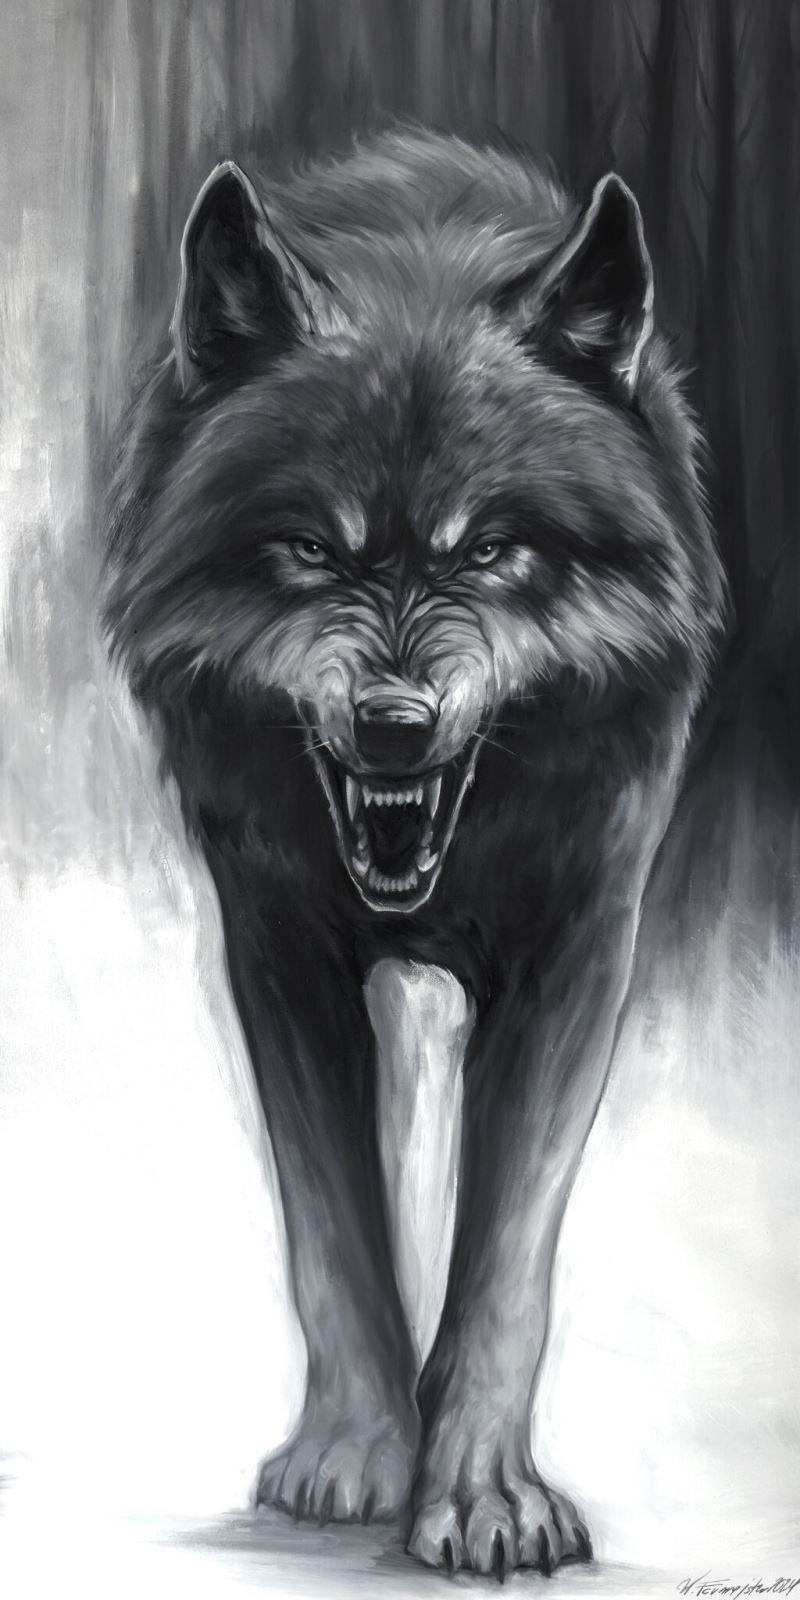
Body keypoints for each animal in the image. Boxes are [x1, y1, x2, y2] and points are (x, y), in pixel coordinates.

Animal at [103, 127, 725, 1576]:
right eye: (308, 549)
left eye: (491, 551)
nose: (393, 723)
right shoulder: (277, 952)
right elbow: (334, 1234)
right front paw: (356, 1454)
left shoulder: (576, 953)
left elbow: (506, 1262)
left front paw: (482, 1492)